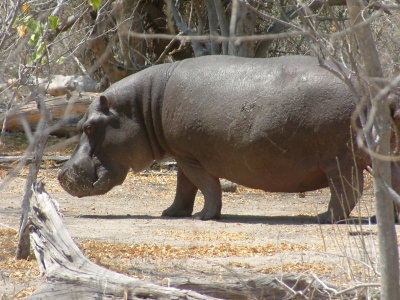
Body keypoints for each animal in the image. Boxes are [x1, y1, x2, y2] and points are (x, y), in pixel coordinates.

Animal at [57, 54, 398, 223]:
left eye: (89, 127)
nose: (61, 174)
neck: (141, 107)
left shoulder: (191, 157)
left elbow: (207, 186)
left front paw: (205, 217)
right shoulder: (182, 155)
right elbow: (184, 187)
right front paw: (171, 213)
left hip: (339, 160)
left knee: (348, 190)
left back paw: (323, 218)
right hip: (386, 154)